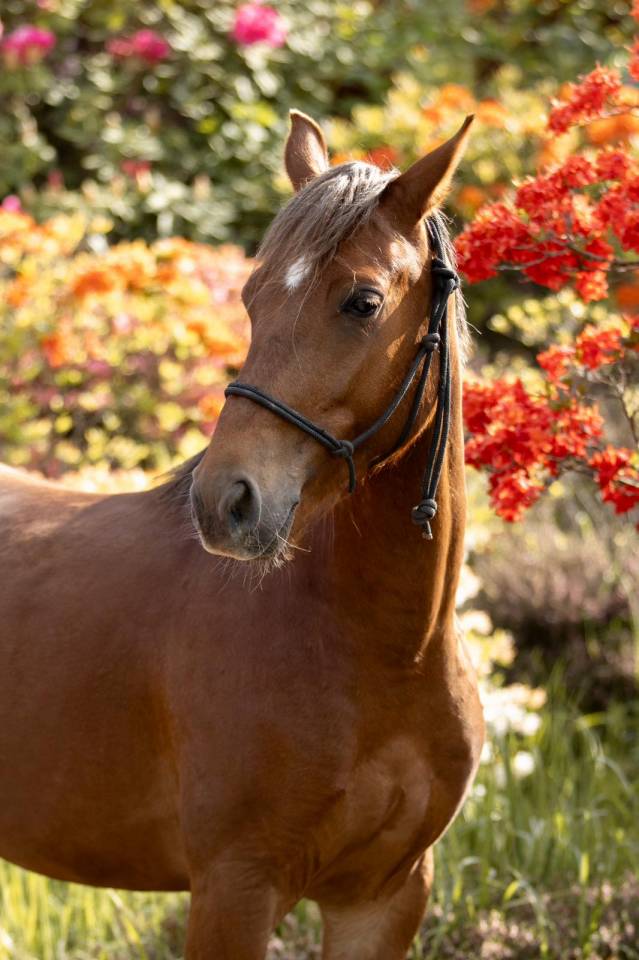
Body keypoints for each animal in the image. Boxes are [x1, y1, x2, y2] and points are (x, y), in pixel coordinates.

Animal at [0, 110, 484, 959]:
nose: (225, 501)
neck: (386, 654)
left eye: (362, 302)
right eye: (252, 297)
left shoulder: (383, 898)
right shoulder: (234, 888)